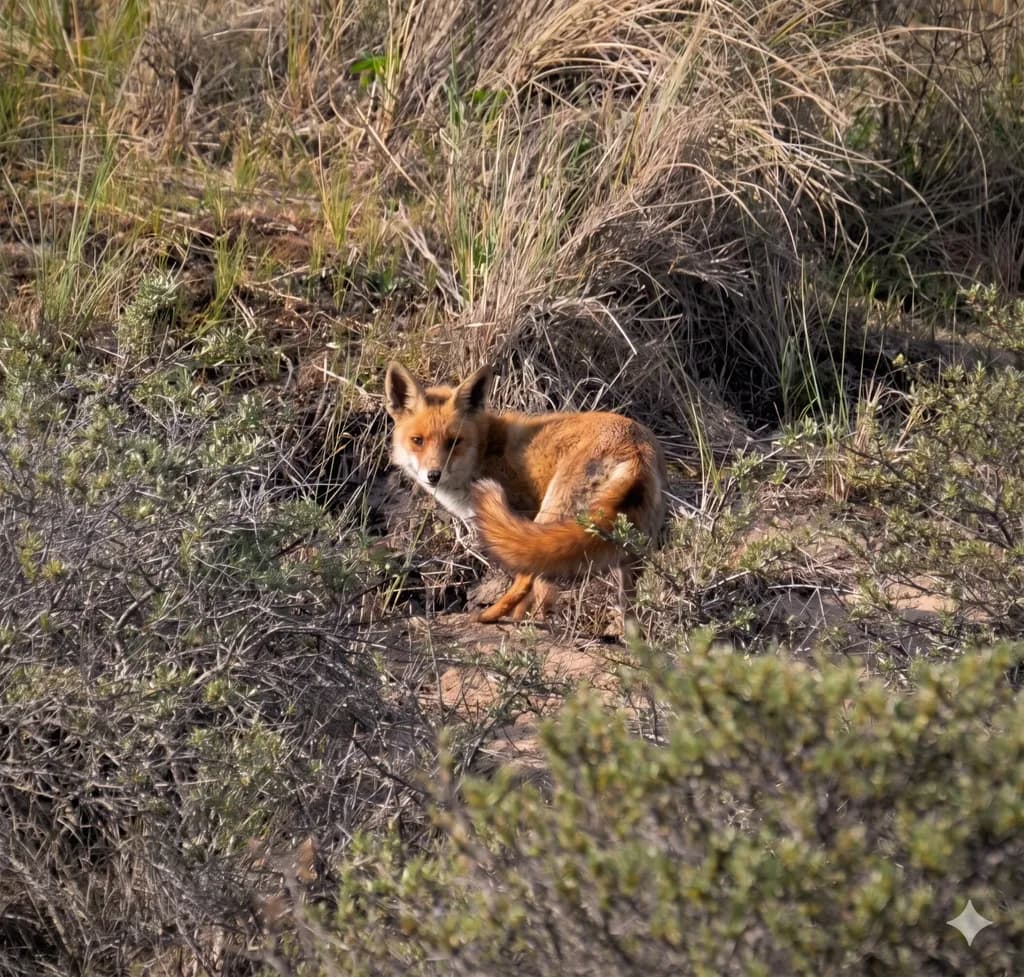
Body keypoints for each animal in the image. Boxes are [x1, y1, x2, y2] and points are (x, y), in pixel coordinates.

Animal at [384, 361, 667, 627]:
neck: (484, 451)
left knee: (529, 576)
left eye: (454, 442)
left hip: (552, 514)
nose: (433, 475)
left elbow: (534, 584)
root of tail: (636, 447)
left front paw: (525, 616)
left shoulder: (524, 514)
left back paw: (492, 616)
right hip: (630, 543)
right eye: (417, 440)